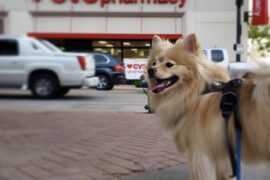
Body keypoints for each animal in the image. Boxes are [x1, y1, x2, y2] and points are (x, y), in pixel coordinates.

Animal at [146, 33, 270, 179]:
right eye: (154, 63)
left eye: (169, 64)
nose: (150, 70)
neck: (196, 93)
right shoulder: (223, 158)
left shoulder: (200, 154)